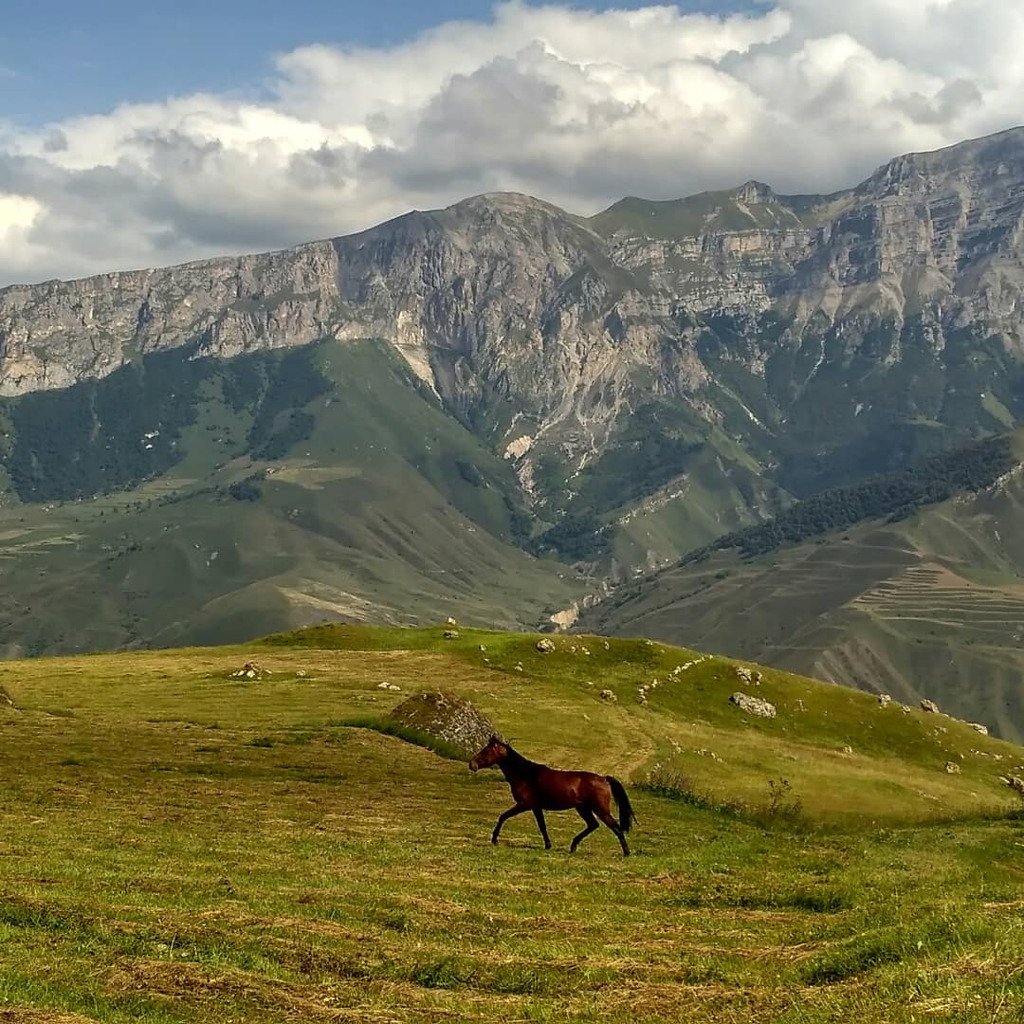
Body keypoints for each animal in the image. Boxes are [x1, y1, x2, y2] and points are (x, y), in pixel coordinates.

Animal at [468, 737, 630, 856]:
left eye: (486, 750)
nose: (472, 764)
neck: (526, 775)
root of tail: (604, 779)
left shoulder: (525, 804)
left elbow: (503, 816)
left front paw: (494, 839)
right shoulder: (536, 807)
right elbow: (542, 826)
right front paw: (548, 845)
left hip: (599, 809)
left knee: (615, 828)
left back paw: (626, 853)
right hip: (583, 808)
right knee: (593, 825)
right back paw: (573, 846)